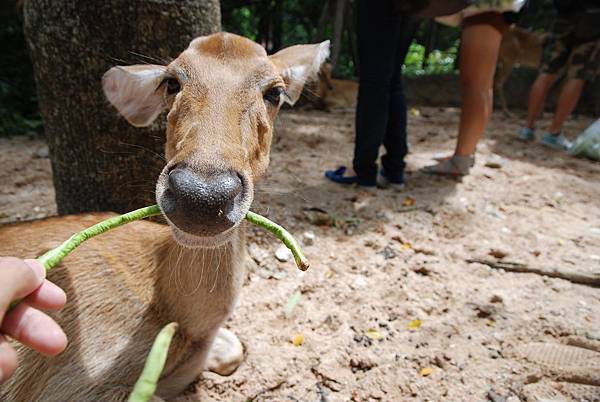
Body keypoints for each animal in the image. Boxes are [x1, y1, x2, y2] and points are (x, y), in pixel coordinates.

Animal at [0, 33, 328, 400]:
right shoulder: (65, 386)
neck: (178, 318)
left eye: (274, 92)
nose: (202, 195)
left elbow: (234, 348)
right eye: (171, 82)